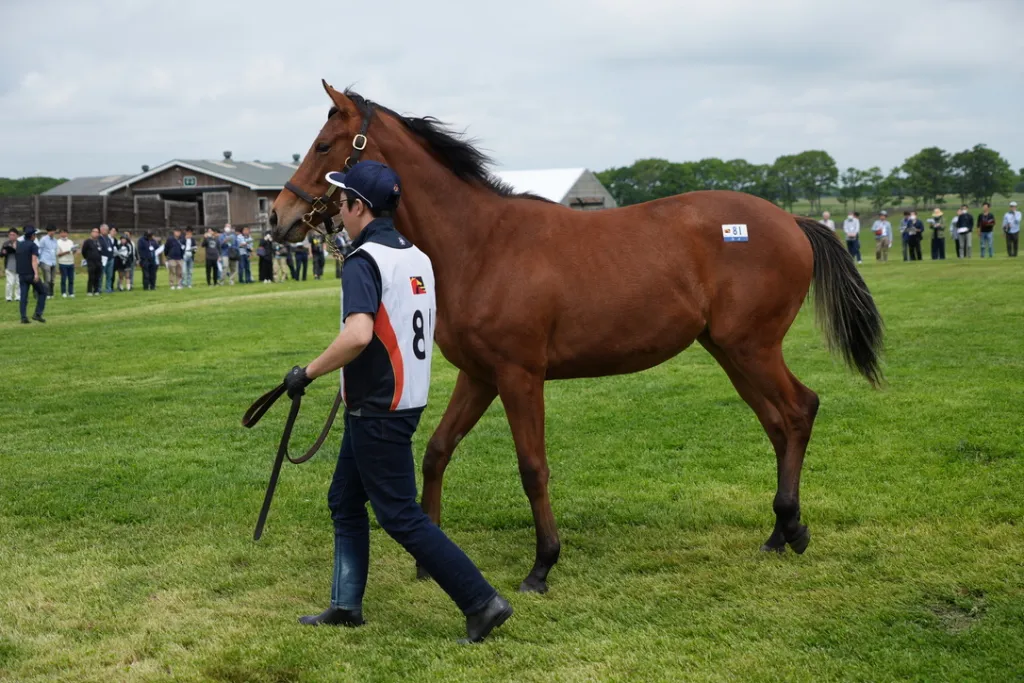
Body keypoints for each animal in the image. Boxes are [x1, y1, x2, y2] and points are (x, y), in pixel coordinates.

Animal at [269, 81, 884, 594]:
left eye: (325, 145)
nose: (279, 218)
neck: (480, 244)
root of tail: (790, 221)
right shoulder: (480, 375)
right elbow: (438, 451)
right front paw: (427, 561)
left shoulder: (519, 376)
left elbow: (532, 466)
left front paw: (542, 565)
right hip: (731, 352)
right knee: (778, 423)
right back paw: (780, 531)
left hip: (751, 349)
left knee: (799, 410)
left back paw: (793, 527)